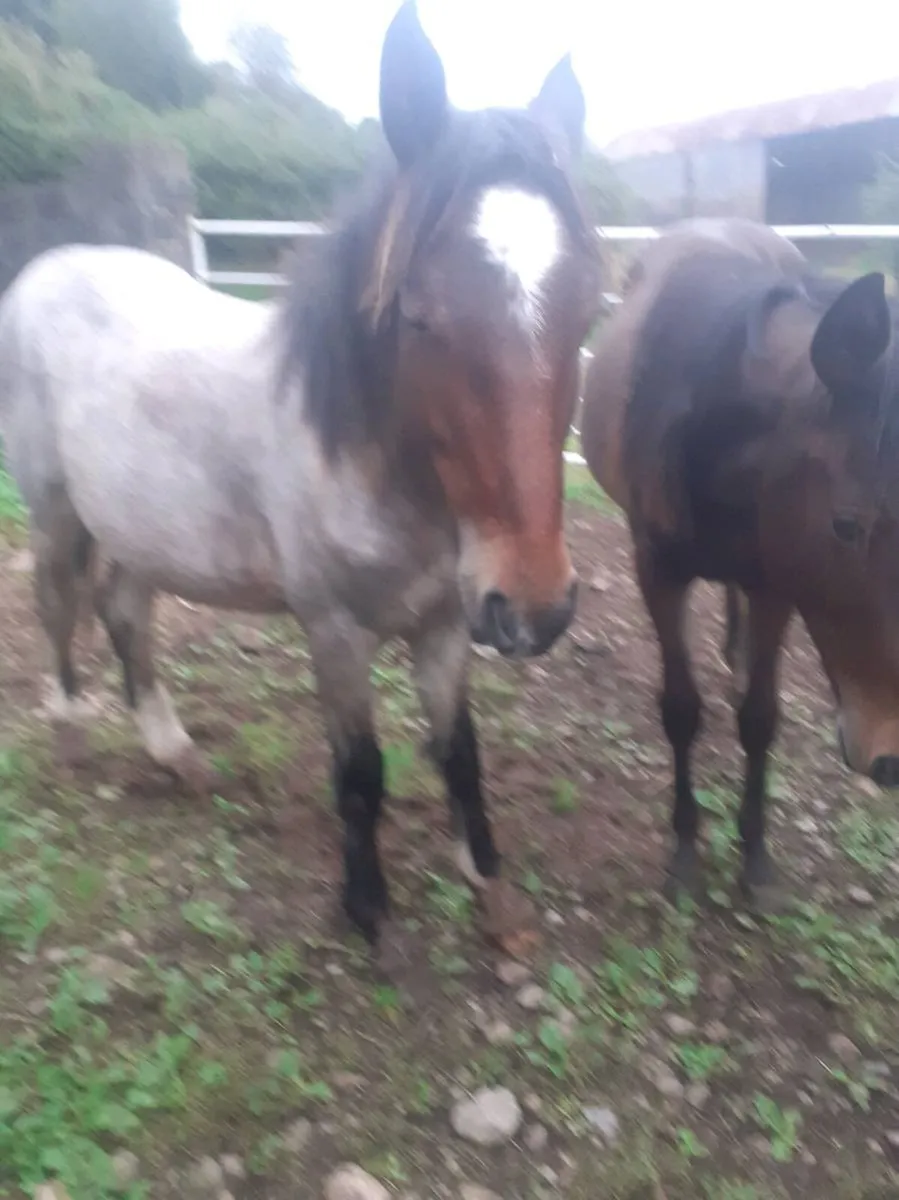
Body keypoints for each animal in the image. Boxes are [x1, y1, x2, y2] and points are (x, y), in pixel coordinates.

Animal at [0, 1, 603, 953]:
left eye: (586, 313)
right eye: (421, 319)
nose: (535, 607)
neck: (380, 465)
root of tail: (46, 270)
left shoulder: (444, 623)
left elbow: (459, 753)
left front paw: (489, 888)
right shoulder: (335, 630)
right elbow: (360, 770)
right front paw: (369, 911)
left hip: (138, 525)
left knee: (125, 612)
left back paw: (173, 751)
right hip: (56, 508)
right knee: (57, 604)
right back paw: (70, 735)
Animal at [581, 216, 899, 910]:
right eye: (846, 525)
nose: (890, 756)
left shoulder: (778, 584)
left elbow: (759, 720)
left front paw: (755, 859)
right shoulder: (658, 572)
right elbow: (680, 710)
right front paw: (684, 854)